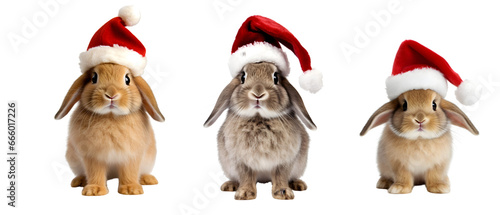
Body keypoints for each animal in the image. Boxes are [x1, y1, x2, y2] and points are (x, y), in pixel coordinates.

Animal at [54, 63, 164, 196]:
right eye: (94, 78)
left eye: (127, 79)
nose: (111, 94)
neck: (111, 116)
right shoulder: (93, 158)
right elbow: (95, 173)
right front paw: (94, 190)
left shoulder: (130, 156)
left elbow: (129, 172)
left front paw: (131, 189)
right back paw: (79, 181)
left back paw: (147, 179)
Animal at [203, 62, 316, 200]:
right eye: (243, 77)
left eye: (276, 78)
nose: (258, 93)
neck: (259, 119)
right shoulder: (241, 162)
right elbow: (246, 176)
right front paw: (244, 193)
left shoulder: (284, 161)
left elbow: (281, 176)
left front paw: (283, 193)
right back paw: (230, 185)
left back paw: (298, 184)